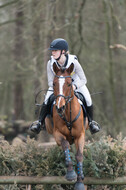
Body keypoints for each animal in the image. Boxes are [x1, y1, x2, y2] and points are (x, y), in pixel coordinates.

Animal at [45, 62, 88, 190]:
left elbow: (79, 156)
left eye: (69, 84)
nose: (60, 107)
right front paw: (71, 174)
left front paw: (79, 182)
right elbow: (65, 145)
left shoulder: (80, 136)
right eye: (54, 83)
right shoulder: (57, 134)